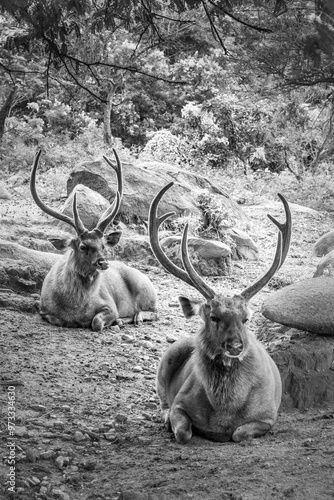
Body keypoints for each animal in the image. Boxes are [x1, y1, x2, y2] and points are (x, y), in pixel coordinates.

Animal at [30, 147, 158, 332]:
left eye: (103, 246)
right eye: (83, 246)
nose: (102, 262)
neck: (74, 308)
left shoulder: (110, 305)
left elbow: (96, 322)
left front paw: (114, 321)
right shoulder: (43, 308)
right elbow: (57, 320)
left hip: (147, 293)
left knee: (154, 313)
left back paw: (134, 318)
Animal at [149, 183, 292, 442]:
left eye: (246, 319)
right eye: (213, 317)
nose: (235, 346)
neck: (224, 412)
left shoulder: (268, 416)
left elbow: (238, 433)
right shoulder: (179, 402)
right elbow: (183, 432)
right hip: (168, 356)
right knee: (162, 398)